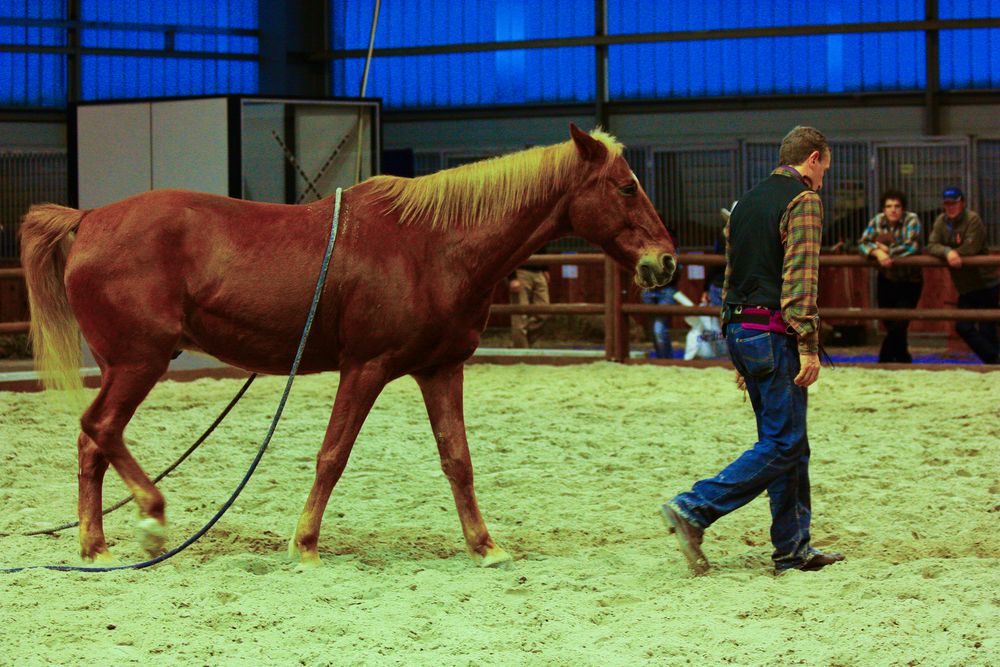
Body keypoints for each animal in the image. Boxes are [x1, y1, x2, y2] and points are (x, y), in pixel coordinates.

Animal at [23, 122, 676, 568]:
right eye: (625, 188)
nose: (666, 261)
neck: (434, 244)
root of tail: (89, 217)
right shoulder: (365, 369)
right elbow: (333, 455)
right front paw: (305, 544)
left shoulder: (441, 370)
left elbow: (457, 460)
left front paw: (485, 546)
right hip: (140, 361)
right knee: (100, 429)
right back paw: (152, 520)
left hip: (128, 366)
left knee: (91, 445)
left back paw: (95, 546)